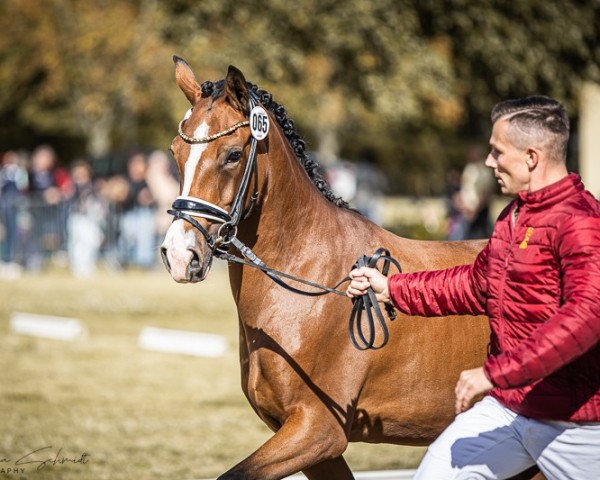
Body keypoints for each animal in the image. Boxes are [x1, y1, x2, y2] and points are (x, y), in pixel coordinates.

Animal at [159, 59, 540, 480]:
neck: (308, 281)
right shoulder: (318, 448)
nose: (179, 255)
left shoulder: (318, 431)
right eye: (176, 152)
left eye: (231, 155)